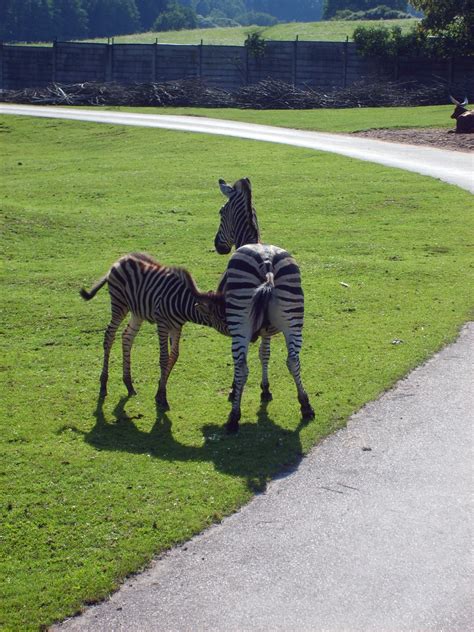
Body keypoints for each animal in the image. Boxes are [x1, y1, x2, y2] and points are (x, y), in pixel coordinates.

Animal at [79, 252, 228, 410]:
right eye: (222, 316)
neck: (182, 304)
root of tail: (121, 259)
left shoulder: (177, 326)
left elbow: (174, 356)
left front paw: (159, 393)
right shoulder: (162, 324)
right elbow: (164, 358)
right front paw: (163, 398)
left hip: (137, 311)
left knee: (127, 337)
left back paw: (129, 385)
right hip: (119, 304)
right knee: (109, 336)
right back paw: (103, 385)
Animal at [215, 178, 314, 434]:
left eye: (221, 212)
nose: (218, 246)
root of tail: (267, 262)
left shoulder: (237, 327)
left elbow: (245, 362)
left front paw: (235, 391)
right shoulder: (268, 330)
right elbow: (265, 354)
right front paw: (266, 388)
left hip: (239, 321)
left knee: (241, 365)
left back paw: (233, 418)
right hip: (294, 319)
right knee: (293, 360)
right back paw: (306, 405)